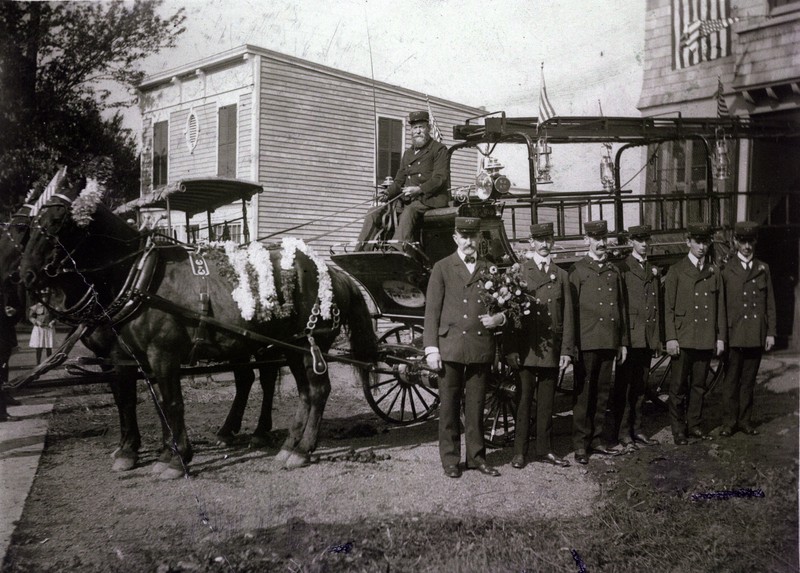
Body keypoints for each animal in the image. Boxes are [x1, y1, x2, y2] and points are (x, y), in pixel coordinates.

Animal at [21, 181, 378, 476]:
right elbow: (150, 403)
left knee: (316, 391)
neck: (141, 276)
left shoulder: (160, 355)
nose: (25, 275)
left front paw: (173, 458)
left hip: (309, 344)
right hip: (287, 346)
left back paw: (301, 449)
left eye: (57, 223)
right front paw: (156, 451)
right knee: (296, 390)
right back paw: (286, 445)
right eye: (31, 227)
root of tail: (330, 271)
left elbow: (169, 403)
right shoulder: (134, 358)